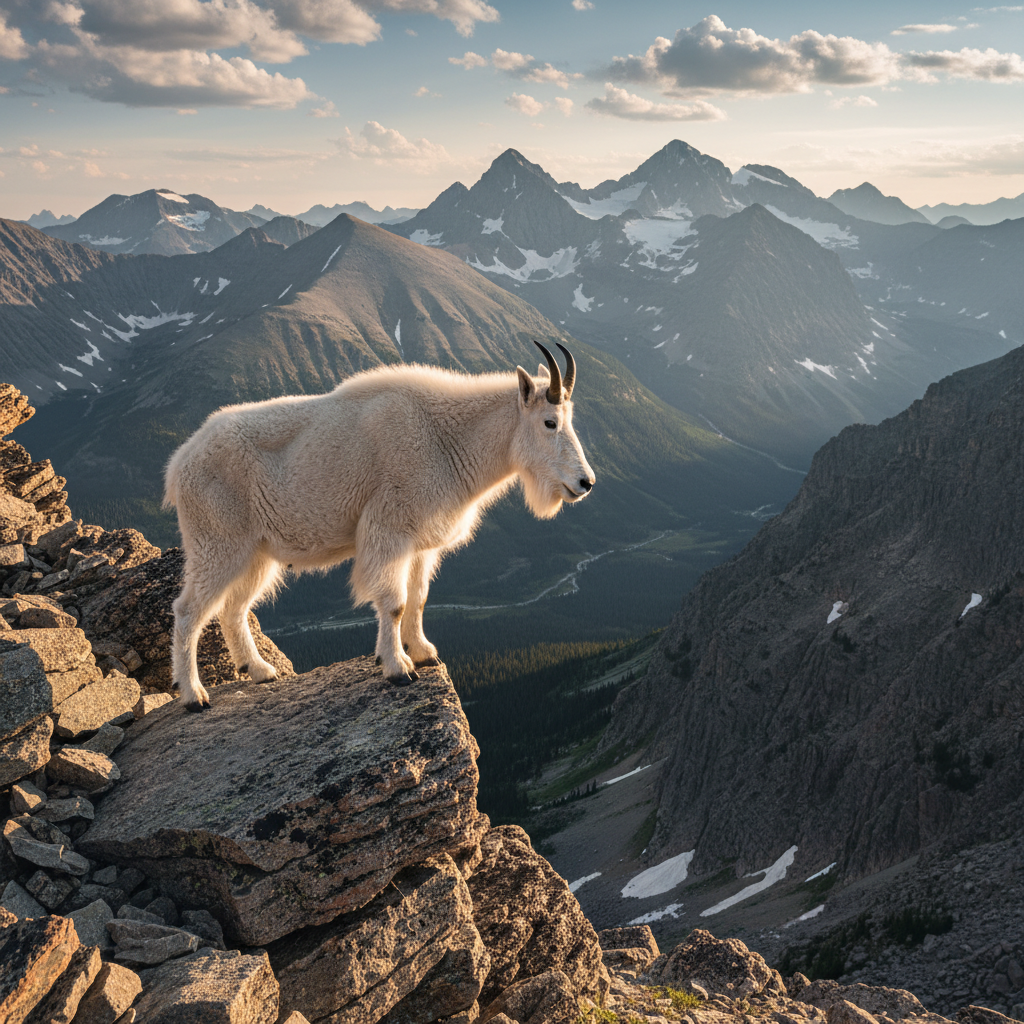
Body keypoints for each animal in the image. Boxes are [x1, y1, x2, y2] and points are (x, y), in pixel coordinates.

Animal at [163, 341, 596, 709]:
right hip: (217, 543)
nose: (585, 483)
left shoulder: (420, 543)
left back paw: (260, 671)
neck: (446, 440)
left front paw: (423, 653)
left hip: (257, 553)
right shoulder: (389, 531)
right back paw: (194, 695)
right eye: (550, 422)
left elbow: (418, 597)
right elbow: (394, 602)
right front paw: (397, 668)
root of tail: (179, 465)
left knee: (234, 608)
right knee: (188, 611)